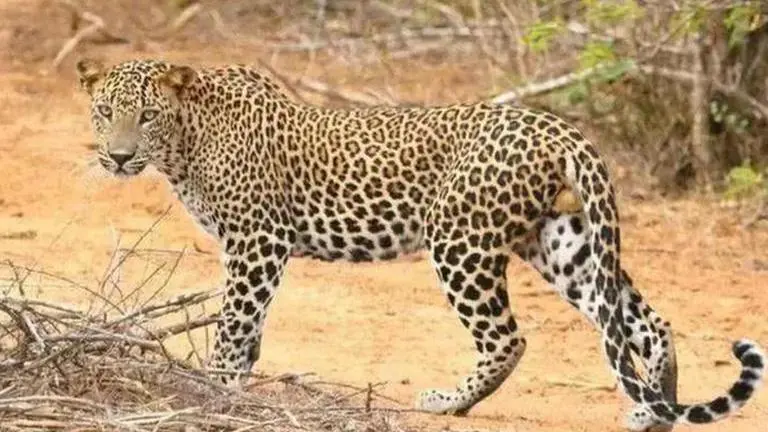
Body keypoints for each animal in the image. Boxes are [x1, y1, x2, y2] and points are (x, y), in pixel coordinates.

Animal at [76, 58, 764, 431]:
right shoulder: (255, 248)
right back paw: (656, 408)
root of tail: (557, 125)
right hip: (559, 241)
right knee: (641, 320)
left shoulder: (257, 240)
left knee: (508, 338)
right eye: (105, 112)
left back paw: (447, 403)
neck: (185, 141)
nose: (119, 156)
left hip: (459, 239)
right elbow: (250, 329)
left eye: (146, 116)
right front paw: (235, 386)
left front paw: (215, 388)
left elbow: (235, 323)